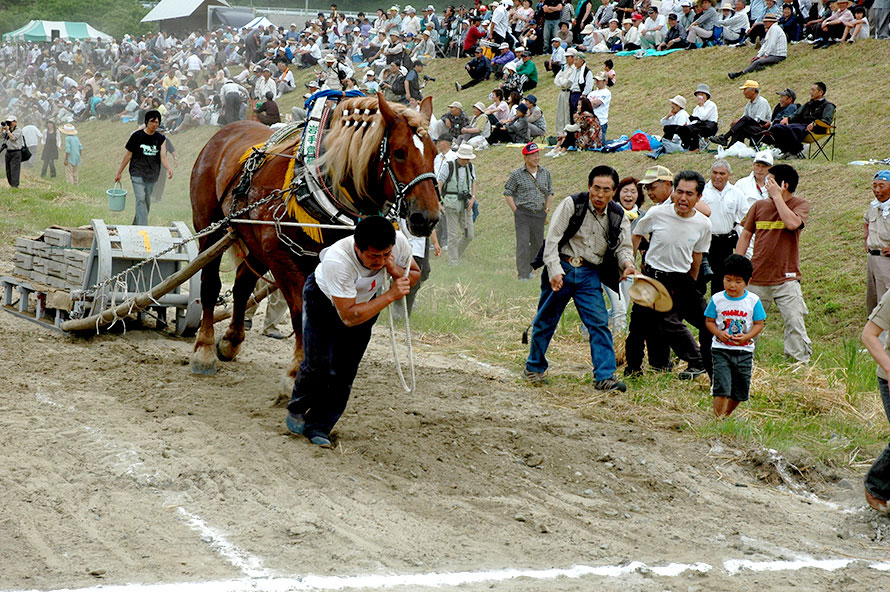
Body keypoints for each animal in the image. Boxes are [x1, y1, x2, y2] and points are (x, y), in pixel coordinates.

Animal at [189, 93, 438, 394]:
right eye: (399, 152)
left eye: (435, 153)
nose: (427, 218)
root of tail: (226, 131)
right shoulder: (282, 259)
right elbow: (302, 314)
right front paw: (295, 374)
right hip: (209, 226)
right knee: (210, 283)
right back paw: (203, 349)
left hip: (252, 238)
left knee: (242, 285)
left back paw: (231, 341)